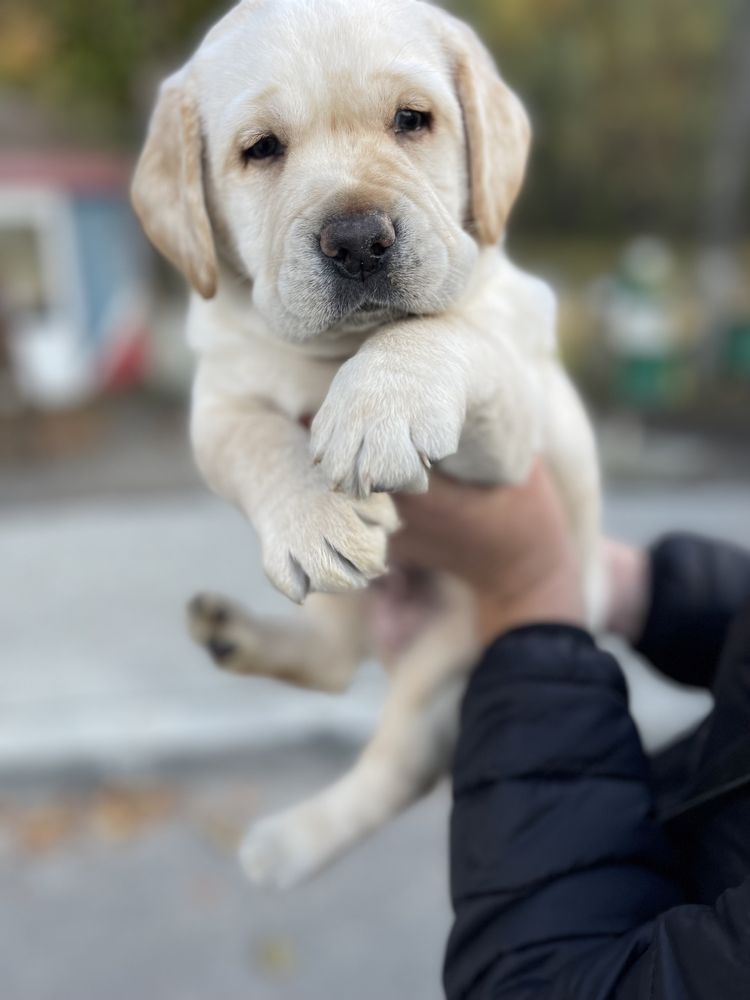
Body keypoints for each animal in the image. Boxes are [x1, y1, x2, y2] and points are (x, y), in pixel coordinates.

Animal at [134, 0, 604, 892]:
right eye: (261, 149)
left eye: (412, 120)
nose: (357, 240)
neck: (337, 352)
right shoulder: (217, 399)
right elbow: (256, 443)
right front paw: (312, 516)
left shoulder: (521, 413)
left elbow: (451, 327)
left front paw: (381, 400)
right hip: (359, 608)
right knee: (331, 657)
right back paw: (232, 634)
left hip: (450, 676)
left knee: (393, 762)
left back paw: (290, 843)